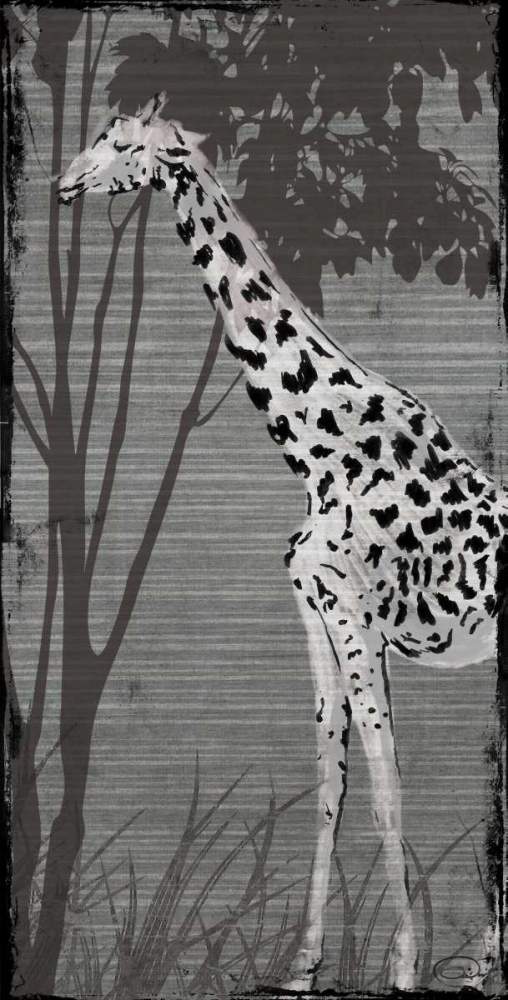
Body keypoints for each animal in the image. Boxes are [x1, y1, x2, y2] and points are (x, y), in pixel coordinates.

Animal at [58, 93, 505, 991]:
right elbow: (331, 784)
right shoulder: (315, 610)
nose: (61, 185)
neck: (314, 441)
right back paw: (482, 960)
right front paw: (302, 964)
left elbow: (386, 789)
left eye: (119, 146)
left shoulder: (359, 616)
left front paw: (402, 968)